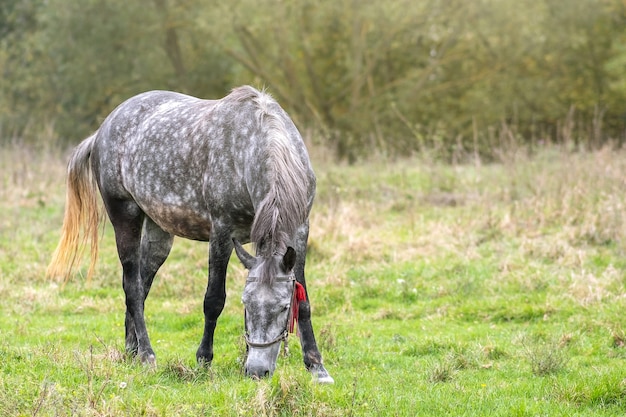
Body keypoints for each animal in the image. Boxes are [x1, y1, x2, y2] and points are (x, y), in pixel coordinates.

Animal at [46, 86, 334, 382]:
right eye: (247, 303)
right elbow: (214, 300)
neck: (253, 145)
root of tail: (102, 129)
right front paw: (204, 360)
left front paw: (316, 366)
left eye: (284, 307)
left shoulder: (298, 232)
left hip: (159, 232)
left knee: (141, 285)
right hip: (125, 218)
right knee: (133, 288)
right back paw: (147, 354)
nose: (257, 371)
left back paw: (131, 352)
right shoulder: (222, 232)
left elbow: (305, 302)